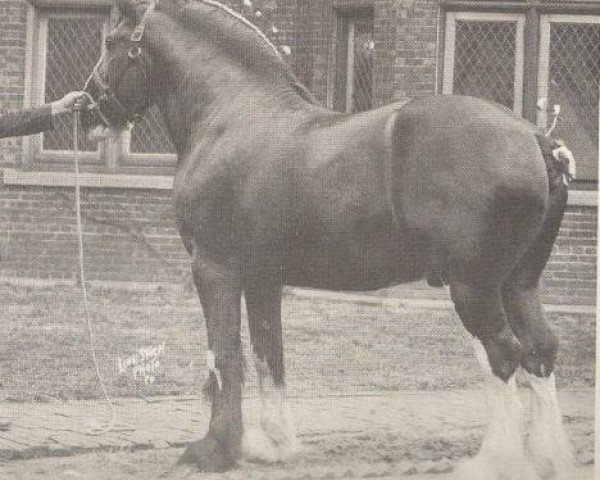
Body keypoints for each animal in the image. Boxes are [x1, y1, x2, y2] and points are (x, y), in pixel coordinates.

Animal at [82, 1, 580, 478]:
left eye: (110, 42)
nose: (87, 109)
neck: (232, 116)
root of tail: (536, 139)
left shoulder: (214, 269)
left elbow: (224, 356)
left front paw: (214, 450)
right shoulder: (262, 279)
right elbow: (268, 354)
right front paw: (274, 445)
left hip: (473, 286)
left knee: (503, 354)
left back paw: (497, 460)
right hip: (517, 283)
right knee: (540, 348)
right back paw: (549, 457)